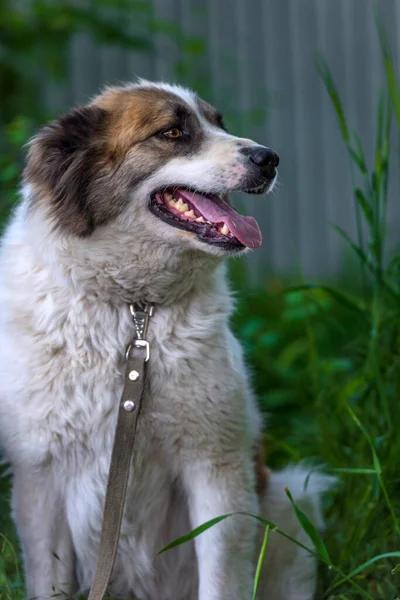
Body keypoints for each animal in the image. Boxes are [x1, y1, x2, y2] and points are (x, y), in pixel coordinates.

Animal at [0, 81, 330, 600]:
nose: (269, 158)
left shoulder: (216, 468)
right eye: (172, 133)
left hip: (290, 504)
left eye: (219, 122)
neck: (134, 309)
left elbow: (221, 579)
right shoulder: (39, 480)